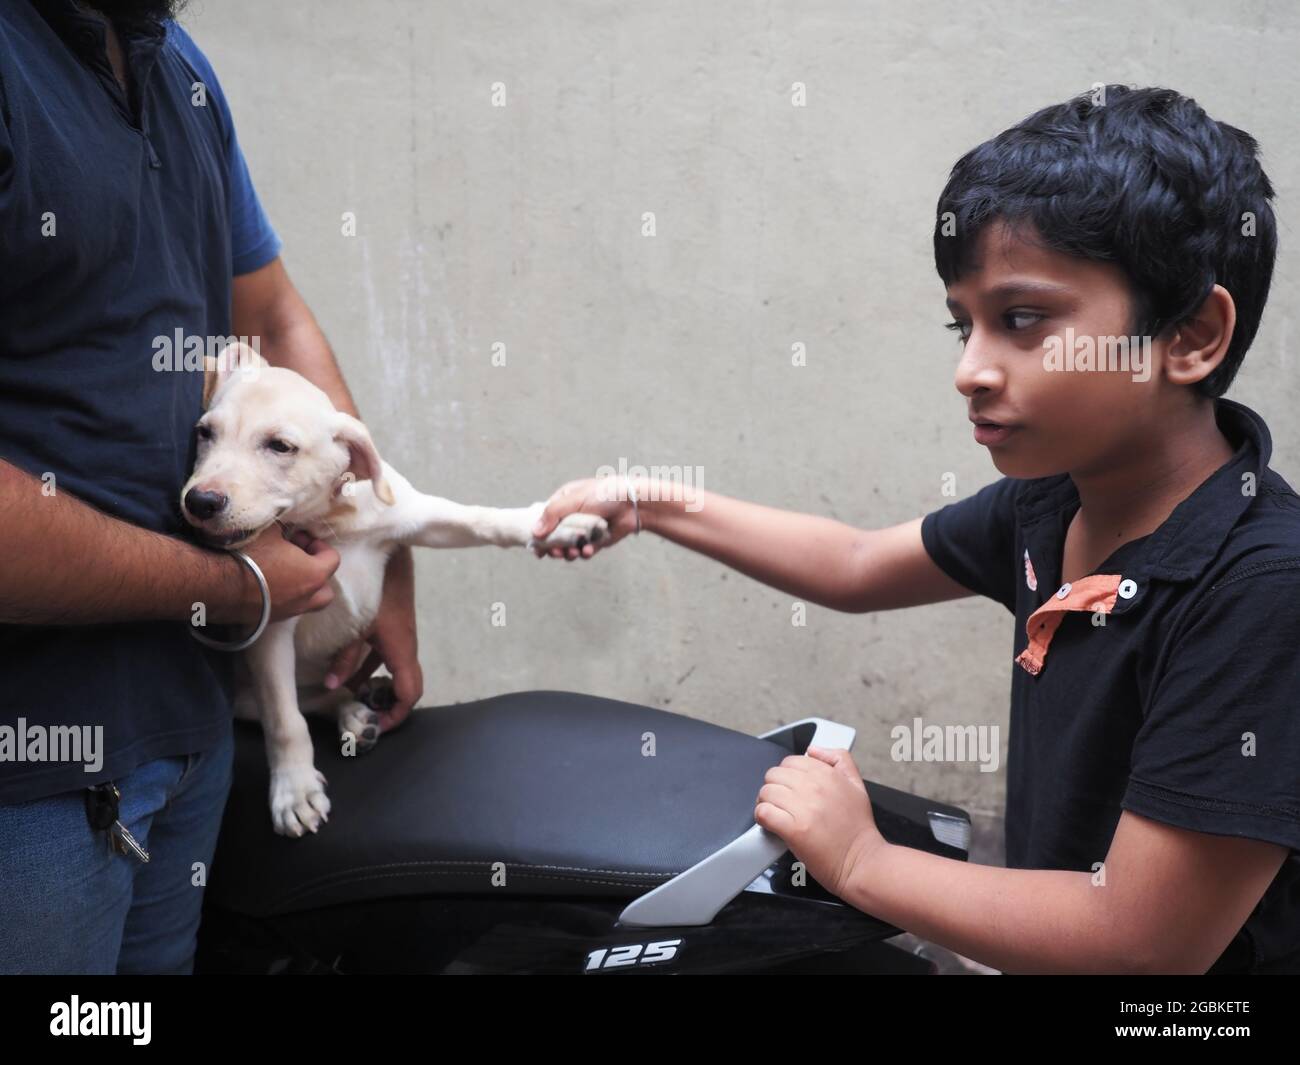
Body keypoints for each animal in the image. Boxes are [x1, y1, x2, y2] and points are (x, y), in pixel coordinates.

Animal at [178, 345, 603, 837]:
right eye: (205, 433)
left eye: (280, 446)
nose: (199, 502)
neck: (327, 521)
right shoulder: (270, 627)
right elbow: (285, 719)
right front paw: (295, 790)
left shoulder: (417, 515)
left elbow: (480, 517)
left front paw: (554, 525)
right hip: (243, 698)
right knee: (306, 701)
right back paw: (355, 713)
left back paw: (364, 707)